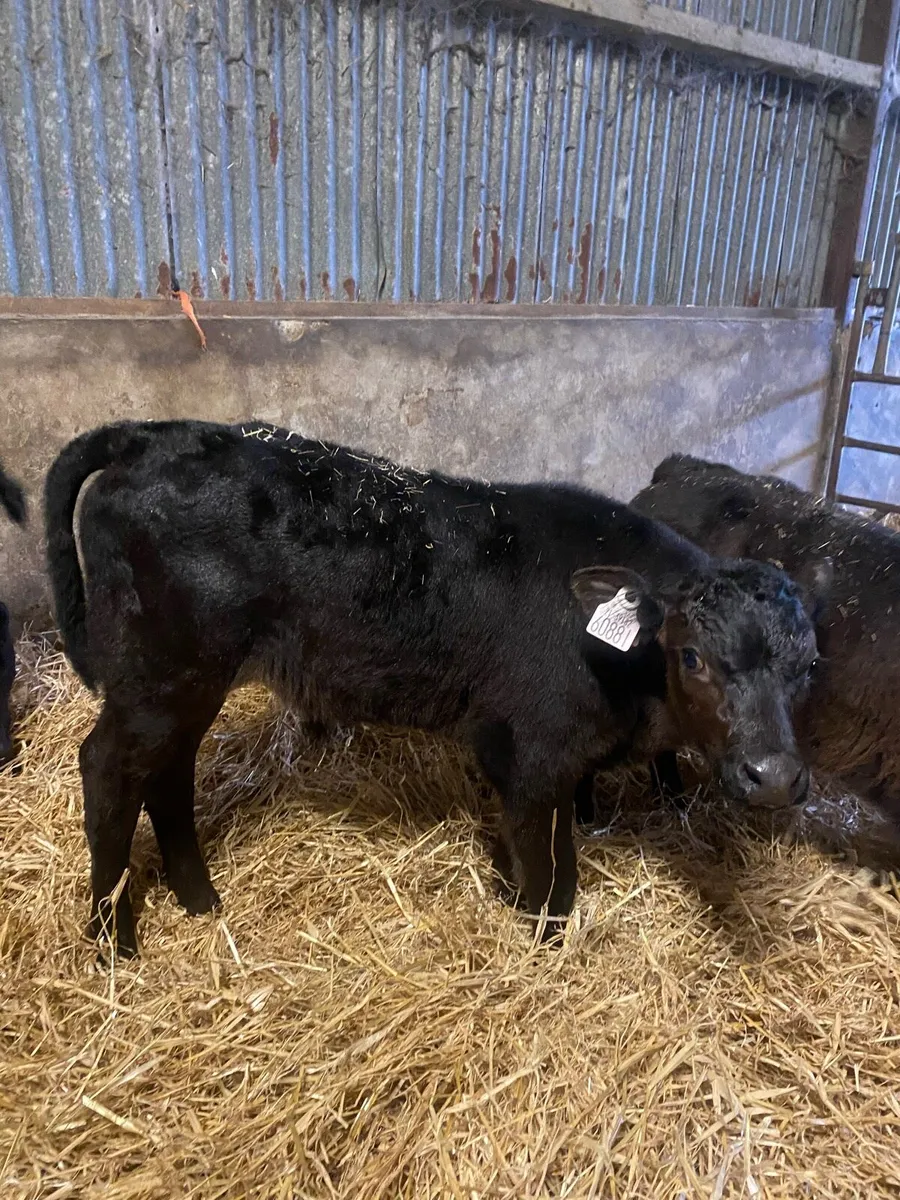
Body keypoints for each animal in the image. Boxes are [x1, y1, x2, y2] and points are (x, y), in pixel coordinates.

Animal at [44, 421, 827, 956]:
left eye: (808, 665)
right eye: (692, 656)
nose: (773, 775)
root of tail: (155, 434)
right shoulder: (532, 753)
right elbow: (550, 871)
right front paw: (543, 942)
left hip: (182, 682)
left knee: (167, 773)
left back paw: (198, 899)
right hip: (161, 673)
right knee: (110, 769)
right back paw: (111, 939)